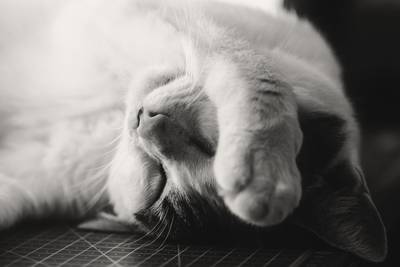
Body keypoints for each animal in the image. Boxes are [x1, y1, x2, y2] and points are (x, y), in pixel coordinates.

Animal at [0, 0, 388, 264]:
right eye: (207, 146)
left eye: (159, 179)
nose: (145, 120)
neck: (115, 102)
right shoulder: (169, 18)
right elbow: (254, 70)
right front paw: (263, 170)